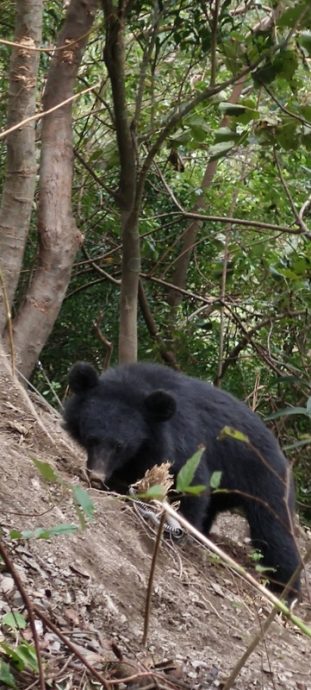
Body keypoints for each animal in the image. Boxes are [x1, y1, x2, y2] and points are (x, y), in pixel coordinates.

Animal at [65, 360, 302, 592]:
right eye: (91, 438)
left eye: (119, 446)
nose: (96, 476)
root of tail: (280, 453)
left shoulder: (182, 442)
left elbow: (191, 485)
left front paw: (178, 532)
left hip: (265, 479)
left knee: (274, 531)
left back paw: (285, 589)